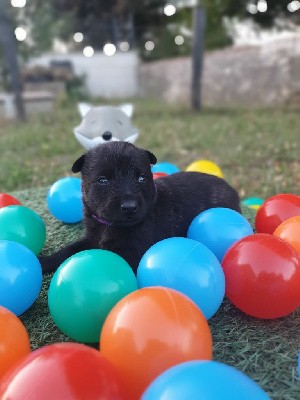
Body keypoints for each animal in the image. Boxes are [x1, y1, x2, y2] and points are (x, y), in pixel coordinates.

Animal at [40, 141, 241, 276]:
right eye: (103, 180)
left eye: (142, 178)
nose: (130, 207)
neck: (109, 225)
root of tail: (232, 189)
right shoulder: (91, 238)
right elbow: (68, 250)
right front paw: (43, 262)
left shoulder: (133, 252)